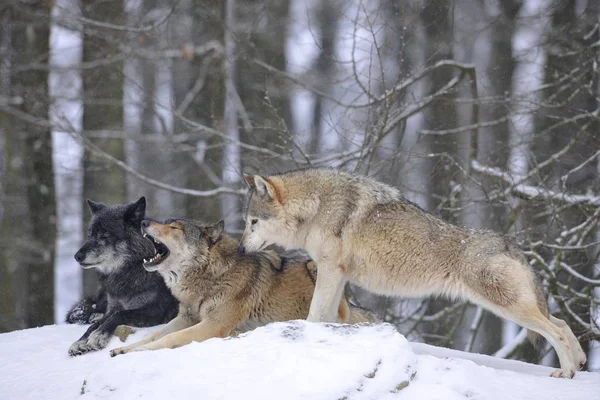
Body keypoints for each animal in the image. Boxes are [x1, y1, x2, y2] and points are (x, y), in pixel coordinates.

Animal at [67, 197, 178, 356]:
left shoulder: (157, 311)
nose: (77, 256)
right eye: (90, 235)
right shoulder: (114, 307)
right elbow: (97, 323)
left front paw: (98, 335)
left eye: (105, 235)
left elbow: (121, 314)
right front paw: (80, 341)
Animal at [108, 219, 376, 356]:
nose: (143, 221)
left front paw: (137, 352)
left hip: (319, 267)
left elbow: (169, 338)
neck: (208, 276)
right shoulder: (186, 317)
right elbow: (154, 334)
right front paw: (125, 349)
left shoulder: (213, 325)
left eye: (174, 228)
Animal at [238, 168, 584, 378]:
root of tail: (509, 243)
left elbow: (314, 314)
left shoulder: (330, 271)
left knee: (555, 332)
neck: (316, 205)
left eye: (252, 222)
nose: (241, 250)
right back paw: (579, 362)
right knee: (562, 323)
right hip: (512, 307)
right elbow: (330, 316)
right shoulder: (337, 276)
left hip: (507, 307)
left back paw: (566, 372)